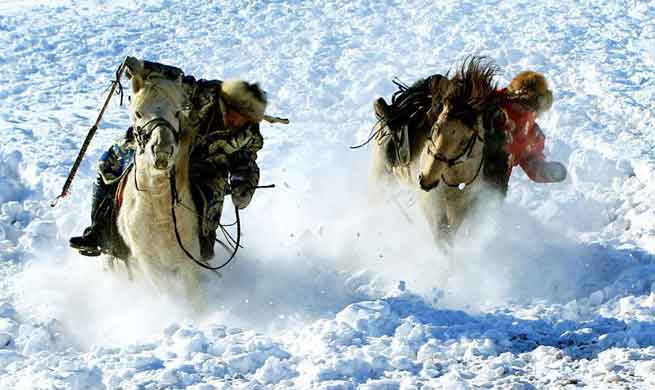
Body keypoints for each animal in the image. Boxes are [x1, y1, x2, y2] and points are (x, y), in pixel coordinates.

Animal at [368, 57, 508, 242]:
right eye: (435, 127)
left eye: (466, 140)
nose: (426, 179)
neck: (453, 179)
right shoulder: (432, 208)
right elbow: (442, 236)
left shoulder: (460, 208)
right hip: (381, 176)